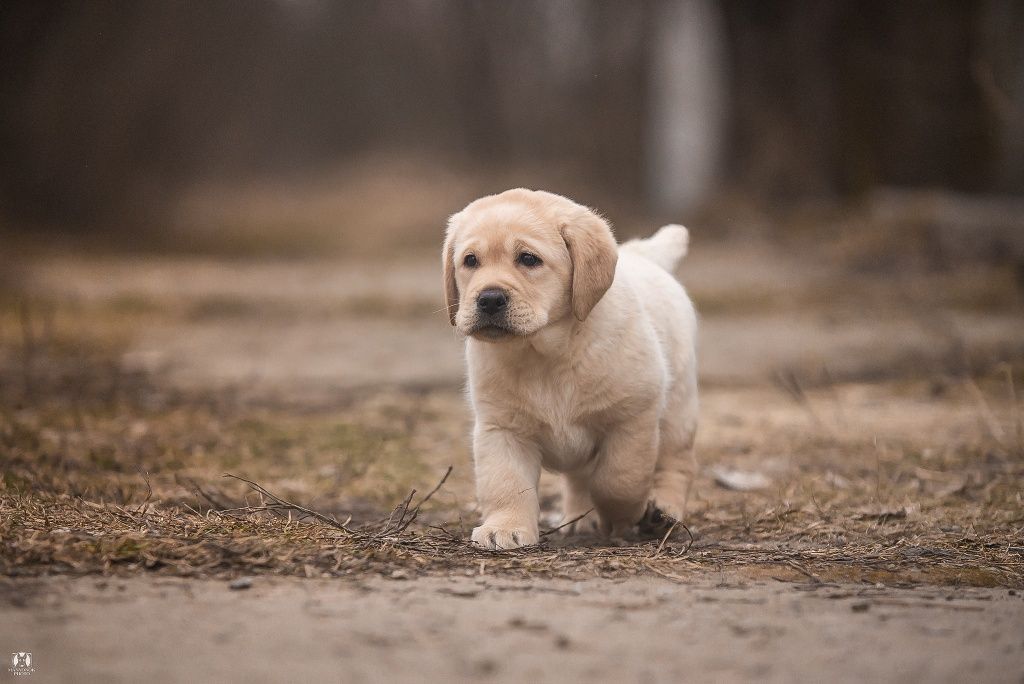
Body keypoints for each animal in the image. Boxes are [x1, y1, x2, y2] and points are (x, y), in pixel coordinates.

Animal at [444, 188, 700, 548]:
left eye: (528, 259)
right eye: (470, 261)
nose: (489, 299)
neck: (546, 352)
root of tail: (641, 255)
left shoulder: (632, 418)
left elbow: (619, 479)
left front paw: (623, 515)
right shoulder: (501, 428)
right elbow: (506, 482)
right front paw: (504, 528)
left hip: (678, 410)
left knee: (677, 463)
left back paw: (663, 513)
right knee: (579, 477)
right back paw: (582, 518)